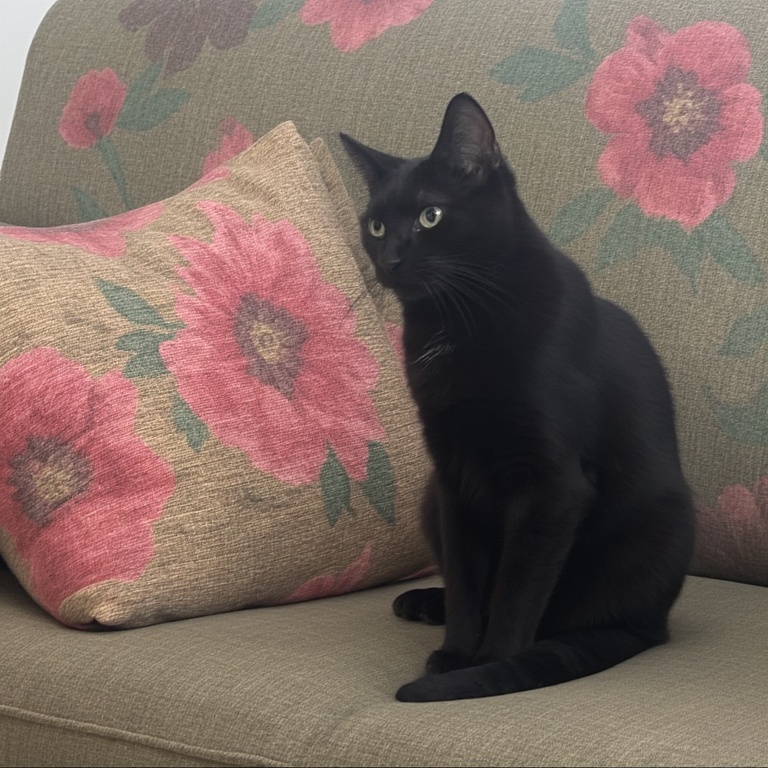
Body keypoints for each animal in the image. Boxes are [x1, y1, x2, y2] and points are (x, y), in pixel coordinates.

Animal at [340, 93, 695, 703]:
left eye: (431, 216)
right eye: (377, 224)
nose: (388, 260)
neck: (456, 326)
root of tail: (657, 626)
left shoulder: (552, 487)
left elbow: (516, 589)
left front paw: (488, 667)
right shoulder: (454, 476)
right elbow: (468, 579)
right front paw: (456, 654)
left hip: (661, 529)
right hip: (430, 499)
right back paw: (423, 603)